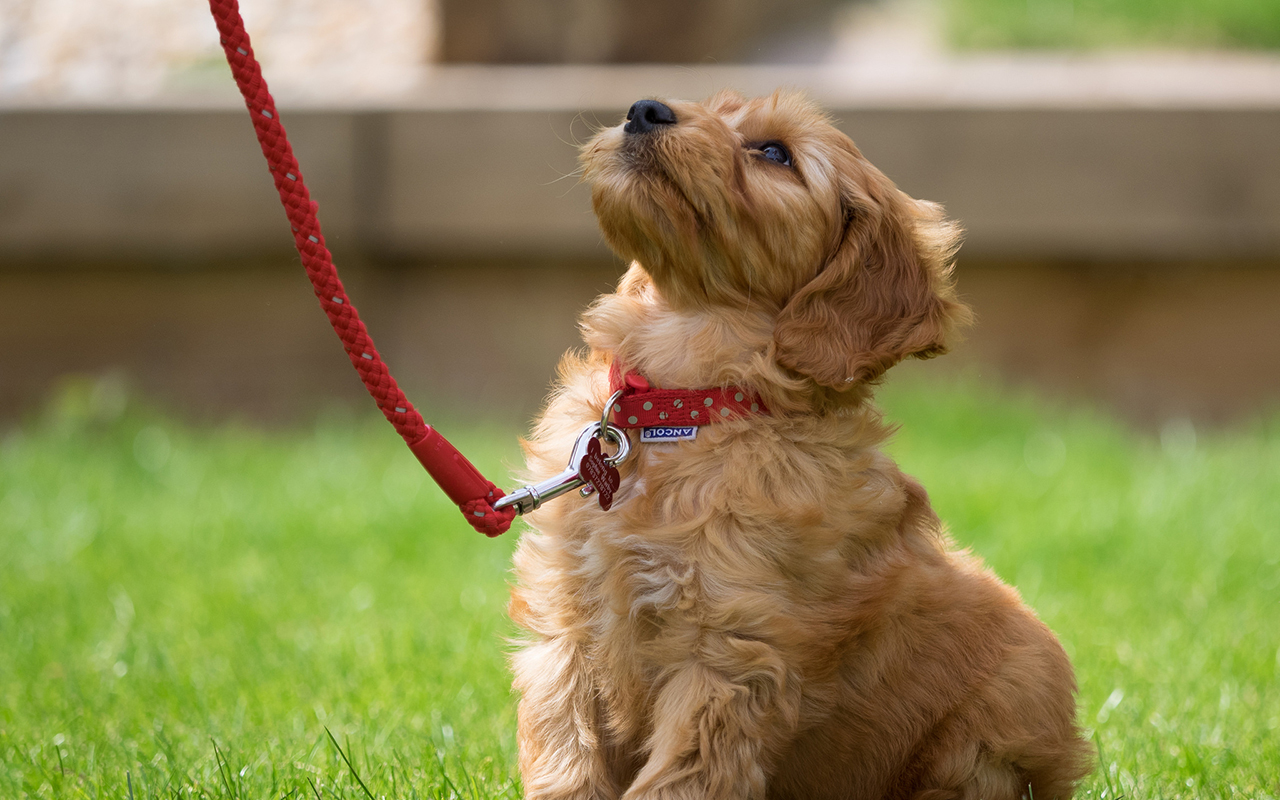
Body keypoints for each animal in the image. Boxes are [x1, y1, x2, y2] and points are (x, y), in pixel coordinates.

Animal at [509, 90, 1090, 798]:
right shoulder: (563, 627)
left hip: (998, 725)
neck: (684, 405)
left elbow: (679, 779)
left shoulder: (730, 651)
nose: (644, 108)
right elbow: (565, 756)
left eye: (774, 152)